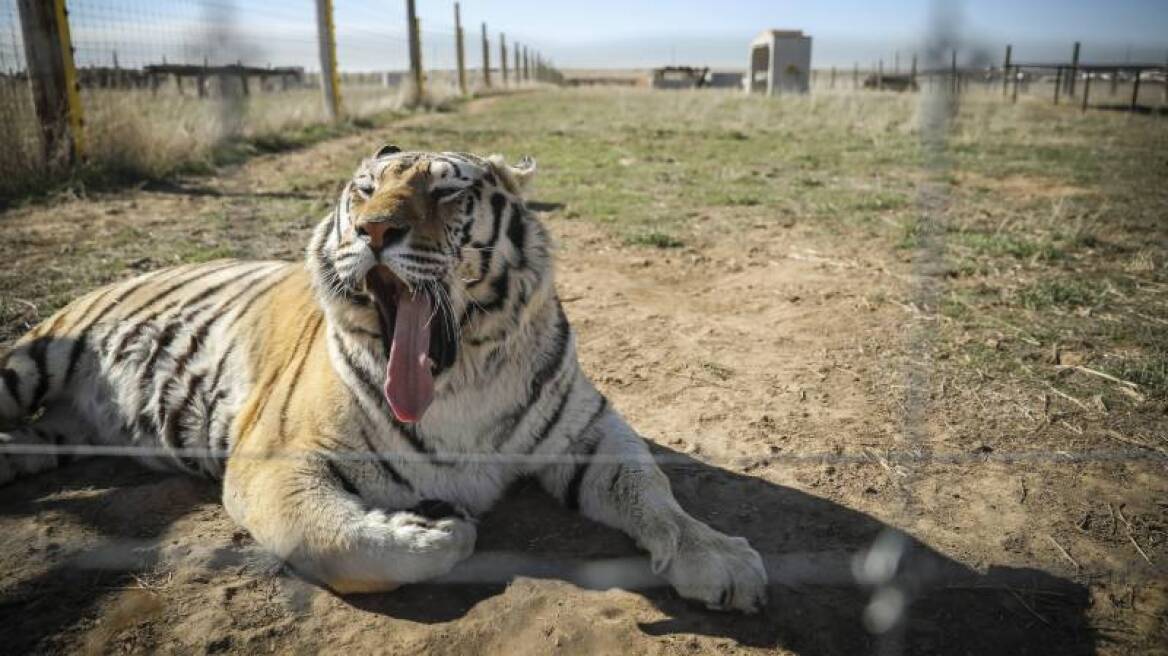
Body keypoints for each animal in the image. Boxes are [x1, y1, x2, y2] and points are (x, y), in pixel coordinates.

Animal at [0, 145, 766, 611]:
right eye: (363, 192)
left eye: (446, 190)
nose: (372, 230)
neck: (461, 380)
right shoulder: (274, 459)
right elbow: (333, 537)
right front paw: (439, 532)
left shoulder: (588, 434)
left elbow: (653, 490)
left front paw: (719, 558)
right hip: (26, 364)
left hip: (54, 434)